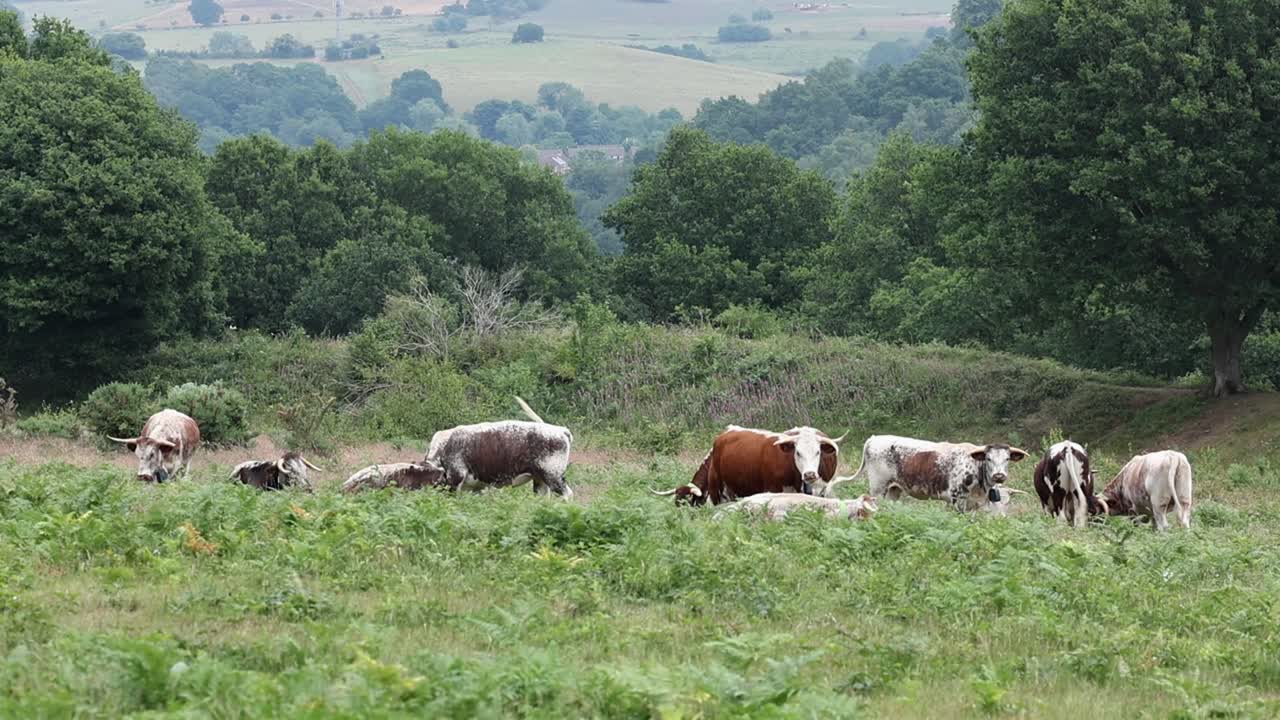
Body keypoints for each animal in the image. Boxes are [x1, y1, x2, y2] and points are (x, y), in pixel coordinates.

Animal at [823, 435, 1028, 512]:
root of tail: (874, 438)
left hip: (894, 490)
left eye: (1007, 459)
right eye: (988, 458)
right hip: (878, 487)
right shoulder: (956, 499)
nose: (999, 476)